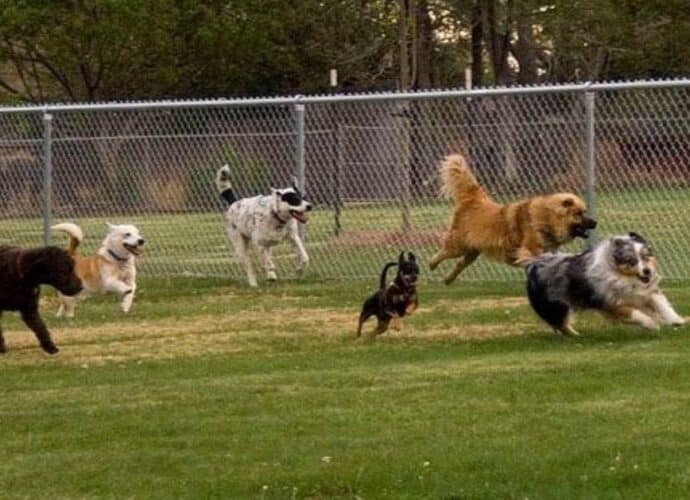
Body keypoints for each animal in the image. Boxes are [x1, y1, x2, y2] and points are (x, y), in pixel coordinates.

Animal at [428, 154, 592, 284]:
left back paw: (448, 279)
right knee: (443, 253)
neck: (547, 217)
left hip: (472, 251)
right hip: (458, 245)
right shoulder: (529, 250)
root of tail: (476, 199)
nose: (595, 223)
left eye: (584, 212)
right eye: (579, 213)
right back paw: (432, 264)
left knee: (460, 263)